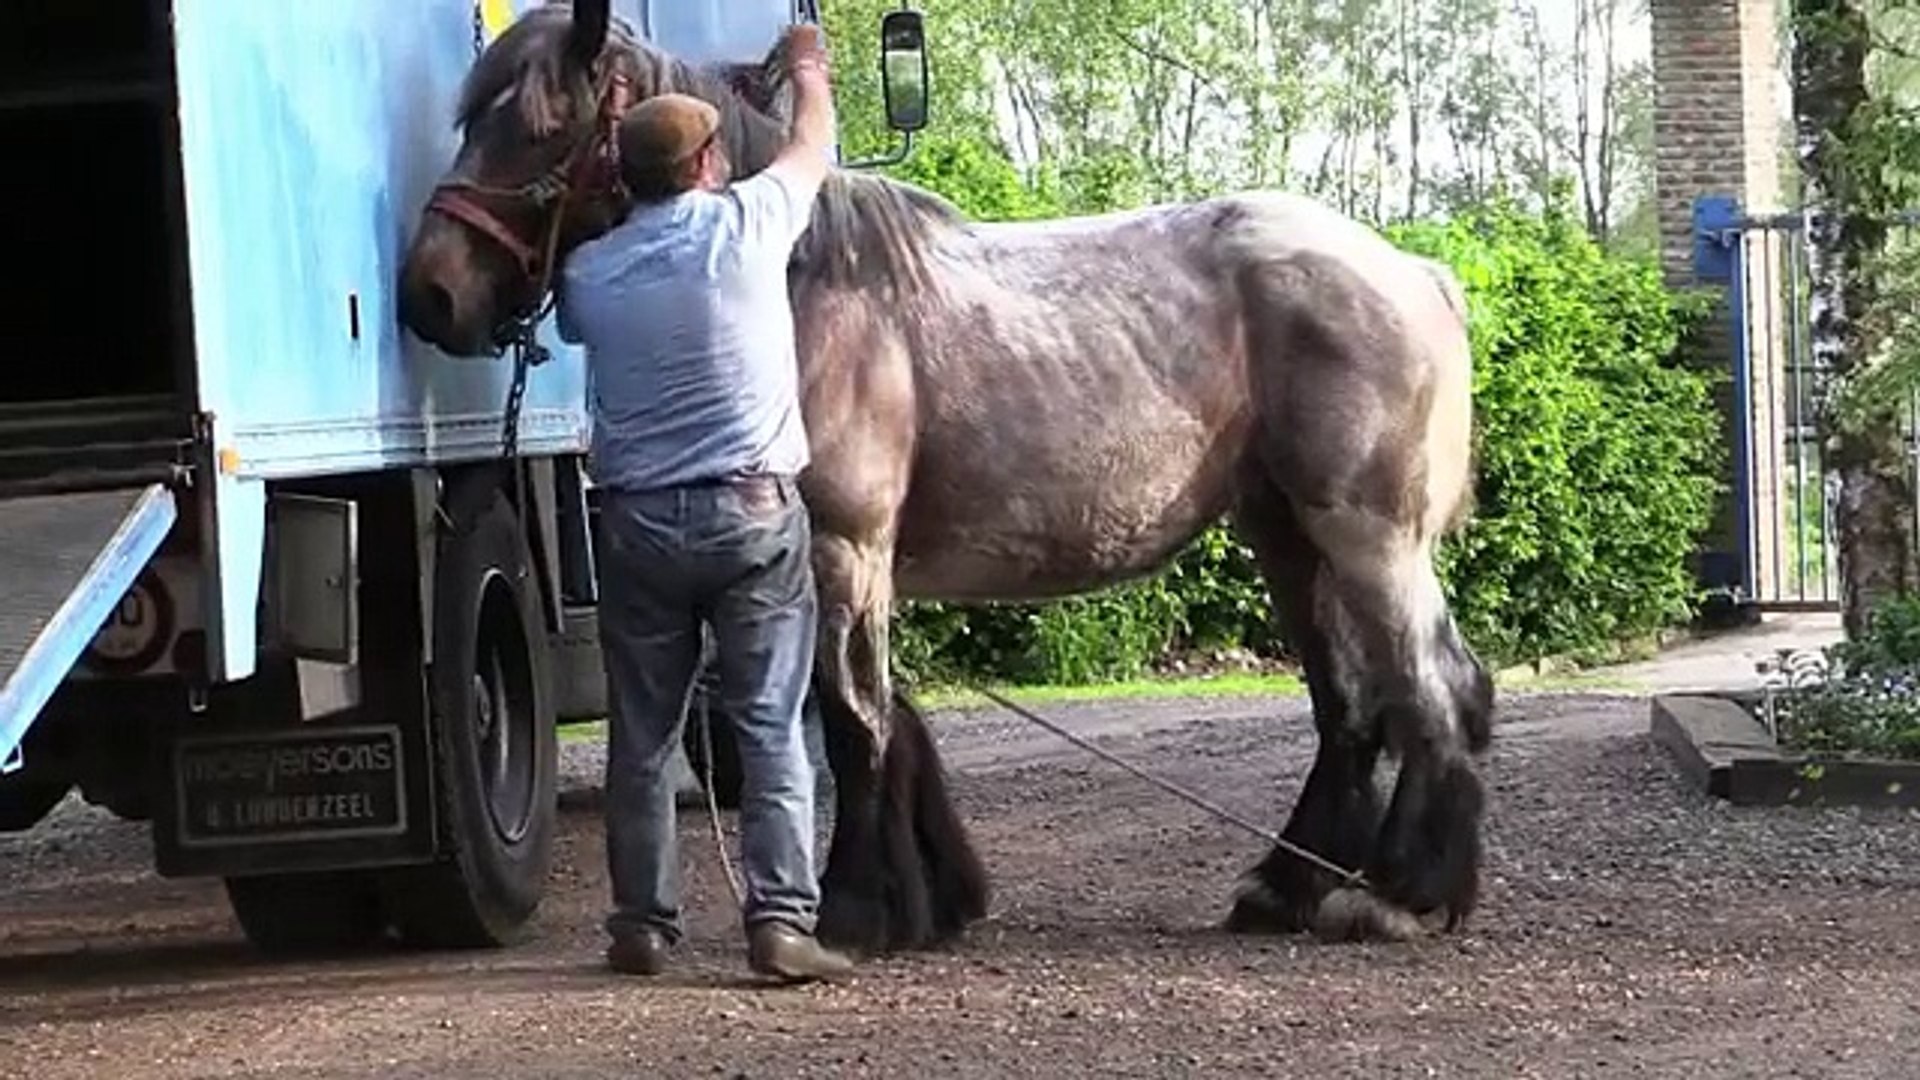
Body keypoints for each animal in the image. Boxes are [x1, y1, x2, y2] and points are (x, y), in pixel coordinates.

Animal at [397, 4, 1489, 953]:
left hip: (1368, 537)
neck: (800, 278)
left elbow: (851, 725)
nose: (428, 294)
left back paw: (1400, 895)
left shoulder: (843, 548)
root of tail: (1410, 270)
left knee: (1437, 688)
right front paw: (932, 898)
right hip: (1287, 535)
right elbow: (890, 718)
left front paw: (855, 911)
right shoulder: (851, 562)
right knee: (1348, 707)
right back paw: (1286, 887)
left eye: (539, 127)